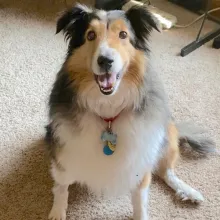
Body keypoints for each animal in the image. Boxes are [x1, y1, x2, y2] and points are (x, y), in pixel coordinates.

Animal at [45, 3, 216, 220]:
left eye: (123, 35)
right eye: (90, 35)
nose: (105, 60)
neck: (108, 111)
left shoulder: (140, 161)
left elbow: (139, 200)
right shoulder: (64, 152)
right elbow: (61, 186)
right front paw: (57, 211)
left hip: (167, 135)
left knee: (167, 172)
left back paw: (188, 191)